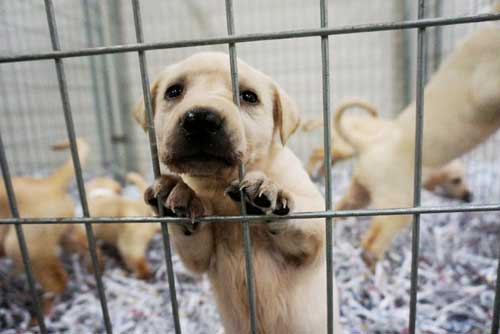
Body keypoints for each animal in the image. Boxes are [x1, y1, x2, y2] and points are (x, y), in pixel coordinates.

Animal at [133, 51, 344, 334]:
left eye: (249, 96)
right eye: (174, 91)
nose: (200, 119)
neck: (221, 183)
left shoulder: (314, 239)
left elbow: (304, 220)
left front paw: (269, 193)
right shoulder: (200, 256)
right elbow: (193, 241)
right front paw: (178, 196)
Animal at [334, 11, 498, 266]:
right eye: (456, 180)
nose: (470, 196)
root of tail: (368, 145)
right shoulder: (486, 85)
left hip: (360, 193)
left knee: (339, 208)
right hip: (397, 207)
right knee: (370, 244)